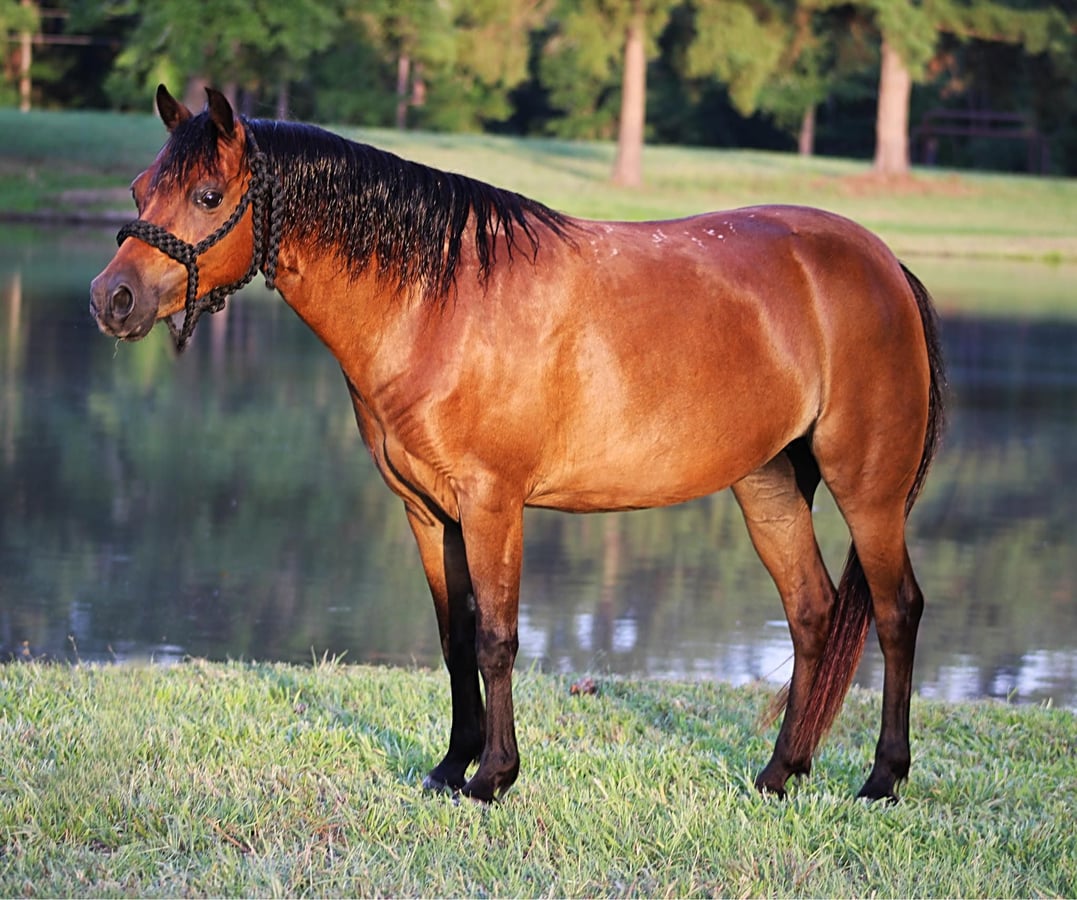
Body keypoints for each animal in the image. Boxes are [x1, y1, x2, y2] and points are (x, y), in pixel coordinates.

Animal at [90, 86, 945, 804]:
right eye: (138, 190)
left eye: (207, 195)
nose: (112, 299)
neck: (437, 303)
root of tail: (883, 263)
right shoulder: (427, 511)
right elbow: (454, 636)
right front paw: (448, 766)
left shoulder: (493, 504)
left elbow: (498, 638)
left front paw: (492, 777)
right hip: (766, 485)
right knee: (811, 613)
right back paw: (779, 772)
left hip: (867, 490)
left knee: (896, 611)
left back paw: (881, 779)